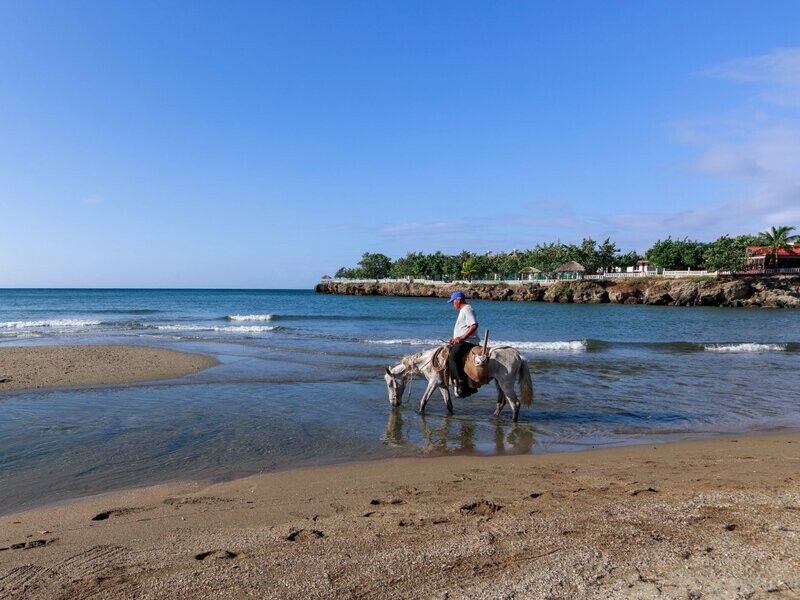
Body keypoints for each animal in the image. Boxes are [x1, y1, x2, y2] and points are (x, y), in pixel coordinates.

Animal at [384, 344, 536, 424]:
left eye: (390, 384)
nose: (393, 403)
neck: (430, 361)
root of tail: (518, 355)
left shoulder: (433, 383)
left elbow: (424, 401)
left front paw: (420, 413)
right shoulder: (442, 385)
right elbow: (449, 405)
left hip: (506, 384)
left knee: (515, 404)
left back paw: (513, 422)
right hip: (499, 383)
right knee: (501, 402)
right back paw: (493, 418)